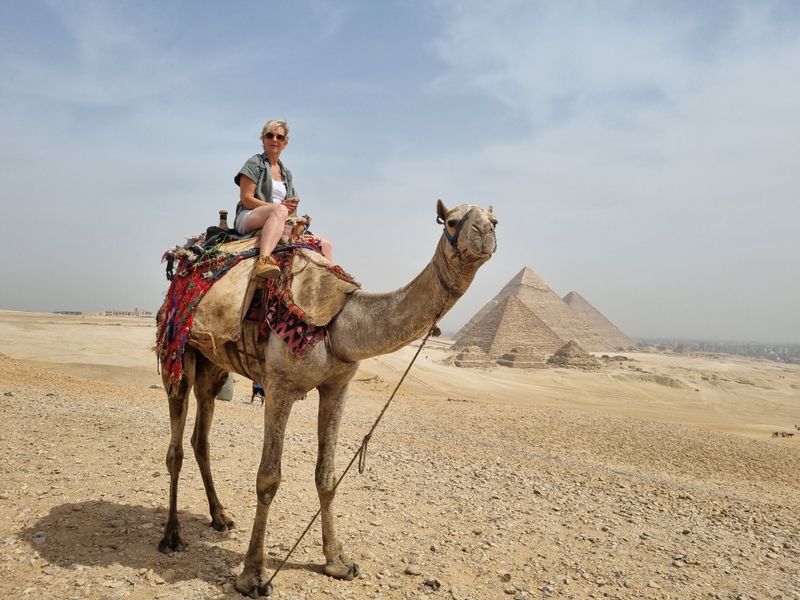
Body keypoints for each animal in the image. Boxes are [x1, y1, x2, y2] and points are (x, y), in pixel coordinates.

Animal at [155, 200, 494, 596]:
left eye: (495, 219)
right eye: (452, 221)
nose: (485, 231)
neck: (340, 323)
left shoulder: (338, 385)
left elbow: (327, 476)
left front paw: (338, 562)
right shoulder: (279, 387)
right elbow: (268, 479)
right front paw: (253, 576)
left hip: (214, 364)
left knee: (201, 436)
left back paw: (220, 516)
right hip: (176, 352)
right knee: (176, 447)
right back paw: (172, 536)